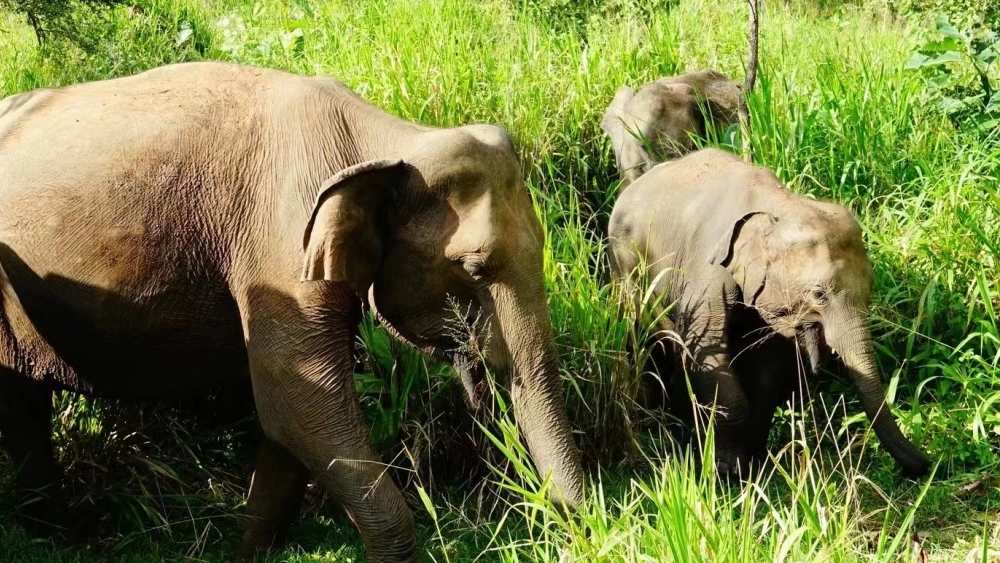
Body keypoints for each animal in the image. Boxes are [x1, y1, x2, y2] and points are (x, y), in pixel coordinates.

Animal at [0, 59, 584, 560]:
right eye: (475, 268)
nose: (557, 517)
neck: (388, 139)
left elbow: (293, 419)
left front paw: (251, 552)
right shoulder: (278, 244)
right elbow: (297, 399)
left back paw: (61, 536)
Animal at [604, 147, 932, 480]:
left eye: (870, 289)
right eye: (819, 294)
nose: (928, 466)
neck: (778, 206)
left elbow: (768, 370)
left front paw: (757, 462)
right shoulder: (707, 272)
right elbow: (706, 349)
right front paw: (730, 471)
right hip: (624, 266)